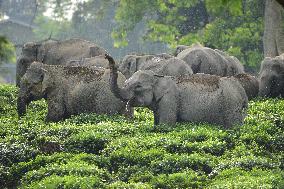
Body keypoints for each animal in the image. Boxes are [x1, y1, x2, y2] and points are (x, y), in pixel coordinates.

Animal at [105, 54, 247, 128]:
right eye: (126, 83)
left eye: (138, 86)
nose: (107, 56)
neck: (159, 78)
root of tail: (242, 93)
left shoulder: (170, 100)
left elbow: (166, 125)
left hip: (231, 106)